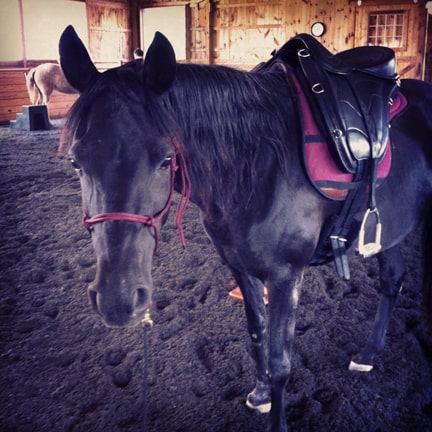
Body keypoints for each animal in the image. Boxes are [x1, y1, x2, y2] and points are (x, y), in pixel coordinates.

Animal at [59, 26, 430, 432]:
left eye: (165, 160)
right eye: (76, 162)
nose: (118, 300)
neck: (261, 164)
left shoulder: (286, 277)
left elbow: (281, 361)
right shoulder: (240, 267)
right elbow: (257, 334)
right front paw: (261, 395)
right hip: (389, 230)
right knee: (392, 278)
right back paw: (368, 353)